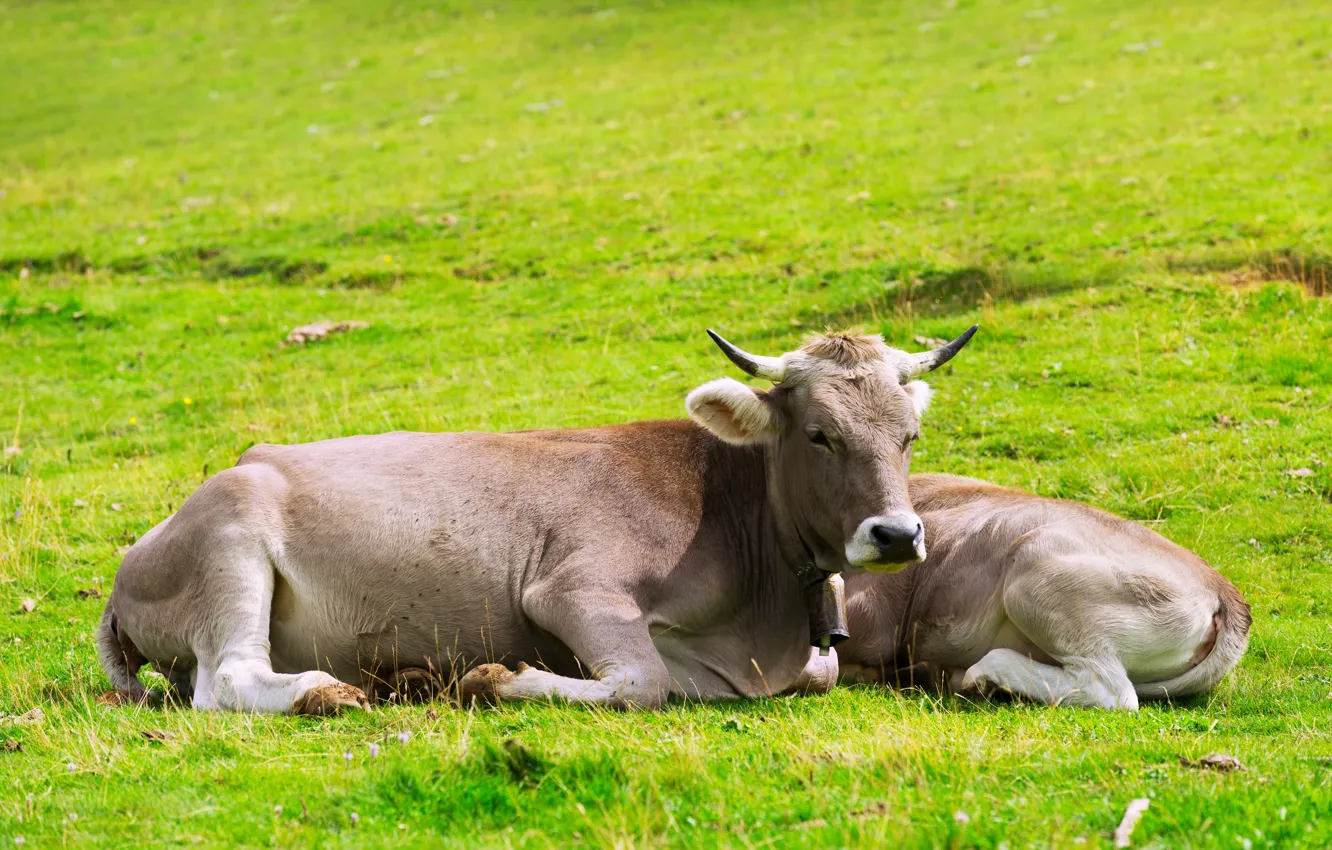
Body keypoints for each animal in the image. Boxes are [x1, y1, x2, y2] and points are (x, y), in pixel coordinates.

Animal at [96, 327, 977, 714]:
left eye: (910, 434)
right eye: (821, 433)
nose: (896, 535)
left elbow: (810, 671)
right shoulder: (570, 591)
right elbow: (642, 683)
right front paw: (494, 678)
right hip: (230, 540)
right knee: (226, 681)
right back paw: (331, 691)